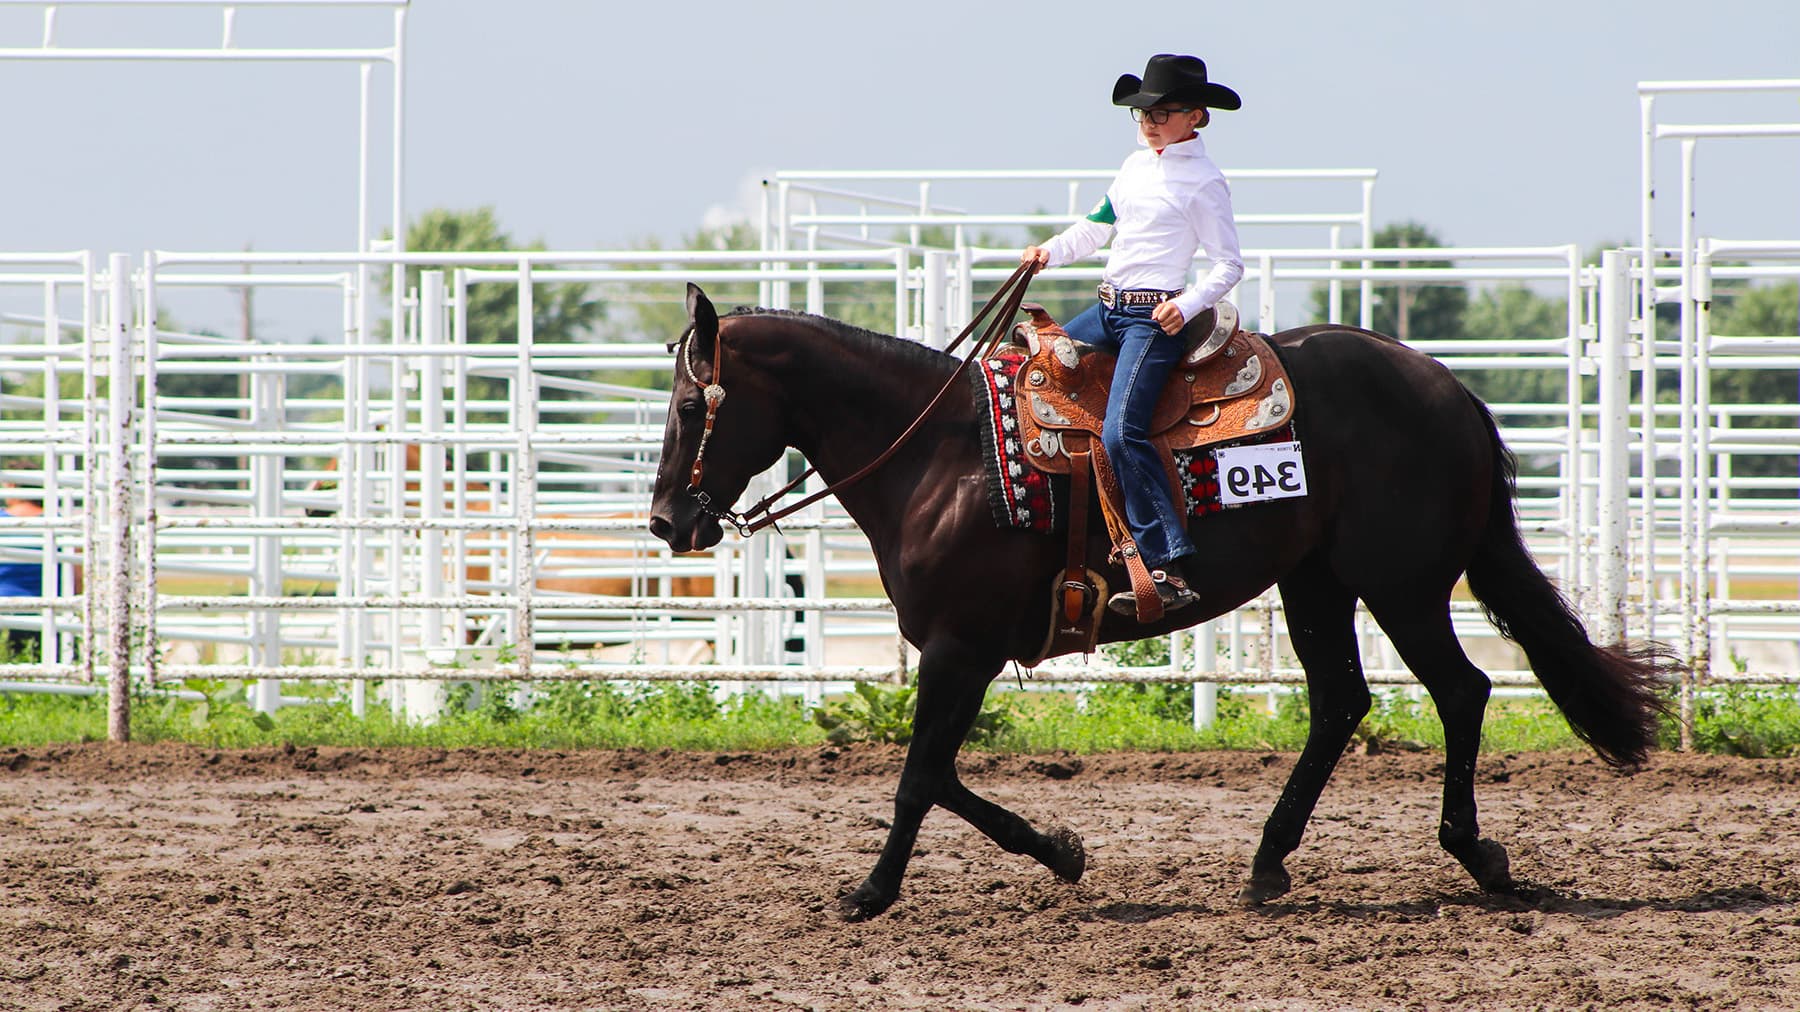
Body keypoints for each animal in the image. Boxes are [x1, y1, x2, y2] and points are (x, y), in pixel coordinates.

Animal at [651, 280, 1670, 914]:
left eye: (693, 407)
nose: (667, 522)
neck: (941, 454)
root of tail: (1449, 388)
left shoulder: (959, 647)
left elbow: (917, 778)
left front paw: (870, 893)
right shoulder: (962, 653)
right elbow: (938, 775)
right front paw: (1061, 852)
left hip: (1402, 585)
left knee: (1460, 691)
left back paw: (1477, 854)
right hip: (1317, 583)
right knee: (1342, 702)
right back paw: (1268, 864)